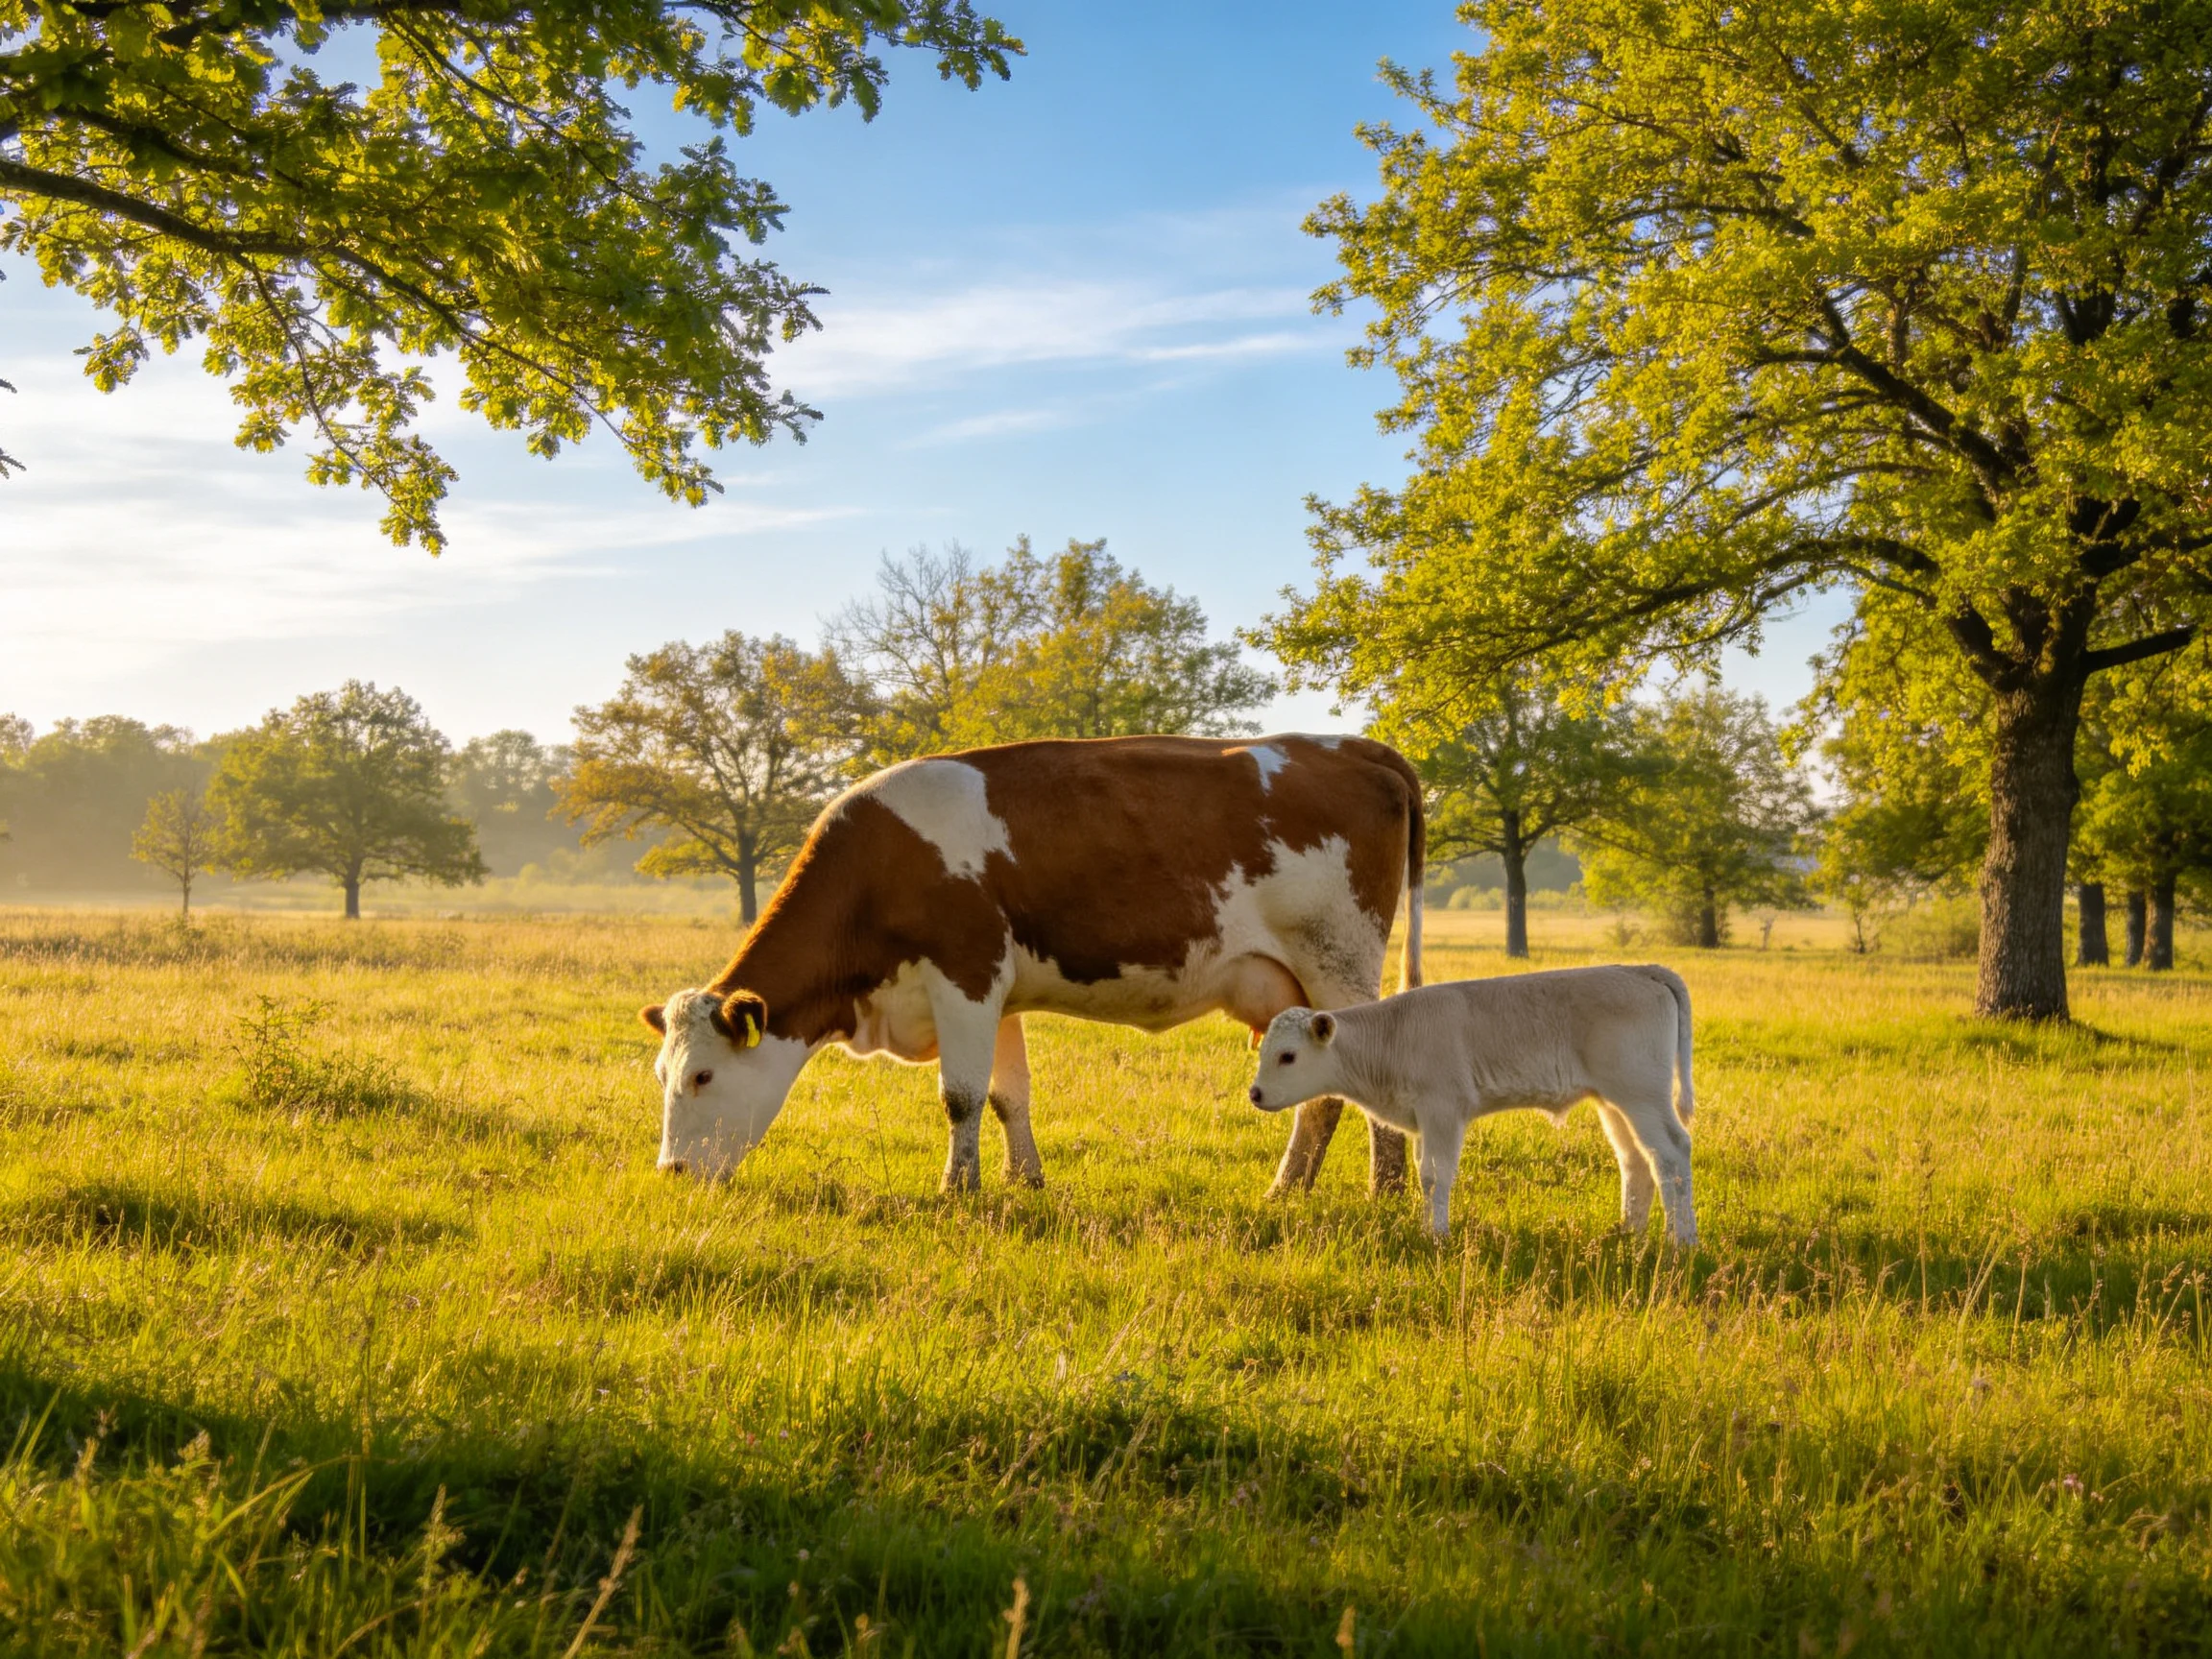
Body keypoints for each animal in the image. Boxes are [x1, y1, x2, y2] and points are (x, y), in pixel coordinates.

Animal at [642, 734, 1425, 1195]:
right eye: (660, 1074)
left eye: (702, 1075)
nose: (672, 1171)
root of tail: (1343, 743)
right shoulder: (998, 994)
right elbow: (1005, 1095)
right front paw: (1026, 1184)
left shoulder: (965, 974)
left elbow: (959, 1097)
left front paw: (958, 1192)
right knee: (1325, 1094)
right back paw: (1290, 1193)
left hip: (1338, 963)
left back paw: (1378, 1193)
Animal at [1245, 965, 1697, 1244]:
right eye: (1264, 1050)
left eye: (1288, 1056)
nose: (1256, 1093)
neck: (1395, 1034)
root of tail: (1640, 971)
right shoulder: (1423, 1120)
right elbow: (1423, 1172)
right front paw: (1426, 1227)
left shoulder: (1444, 1110)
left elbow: (1435, 1175)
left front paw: (1436, 1235)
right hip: (1614, 1103)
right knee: (1635, 1158)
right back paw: (1628, 1233)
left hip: (1642, 1097)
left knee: (1670, 1155)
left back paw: (1681, 1240)